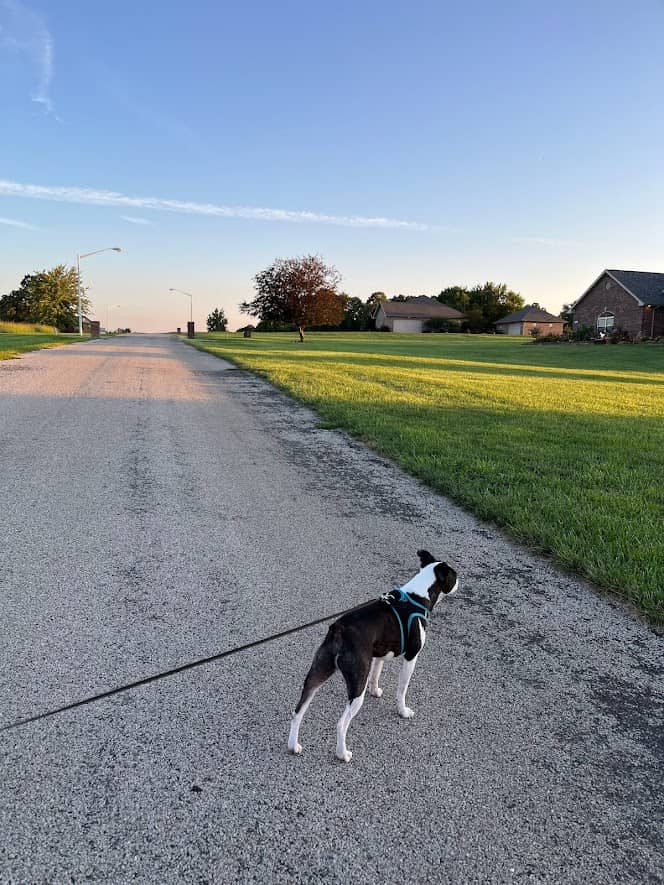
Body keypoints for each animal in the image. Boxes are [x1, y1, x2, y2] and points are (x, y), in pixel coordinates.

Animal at [288, 544, 460, 760]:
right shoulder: (411, 657)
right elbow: (402, 689)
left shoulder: (379, 655)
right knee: (341, 723)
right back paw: (342, 754)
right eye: (454, 575)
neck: (418, 597)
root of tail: (339, 630)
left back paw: (293, 745)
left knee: (298, 711)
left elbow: (376, 674)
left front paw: (375, 691)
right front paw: (403, 711)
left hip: (318, 671)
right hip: (356, 684)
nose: (459, 580)